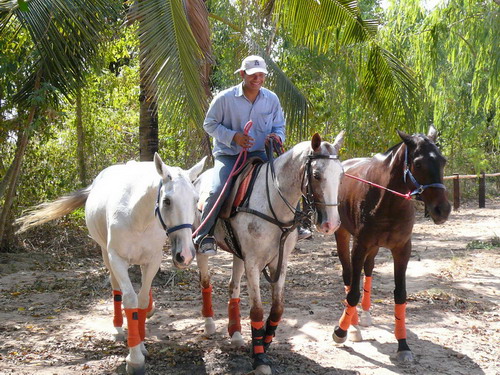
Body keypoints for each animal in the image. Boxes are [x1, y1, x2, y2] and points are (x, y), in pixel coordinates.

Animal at [16, 153, 205, 375]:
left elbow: (141, 301)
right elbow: (129, 300)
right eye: (167, 201)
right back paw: (117, 327)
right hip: (106, 255)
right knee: (116, 287)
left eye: (195, 200)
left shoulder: (153, 259)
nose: (186, 255)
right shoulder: (117, 259)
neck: (139, 216)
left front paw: (141, 341)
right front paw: (134, 358)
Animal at [194, 133, 344, 375]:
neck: (273, 203)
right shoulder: (253, 263)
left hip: (238, 254)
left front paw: (264, 342)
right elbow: (257, 310)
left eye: (341, 175)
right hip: (202, 249)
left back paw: (236, 333)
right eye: (316, 175)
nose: (331, 224)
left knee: (233, 287)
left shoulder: (279, 263)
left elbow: (278, 309)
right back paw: (209, 325)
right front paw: (260, 359)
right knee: (205, 281)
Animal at [332, 127, 450, 364]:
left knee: (368, 270)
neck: (387, 200)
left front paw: (403, 344)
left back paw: (365, 315)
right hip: (343, 235)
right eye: (418, 164)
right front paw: (341, 331)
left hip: (374, 247)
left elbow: (400, 295)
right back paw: (353, 325)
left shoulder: (402, 249)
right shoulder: (359, 245)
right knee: (348, 276)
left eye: (443, 161)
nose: (442, 209)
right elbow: (353, 293)